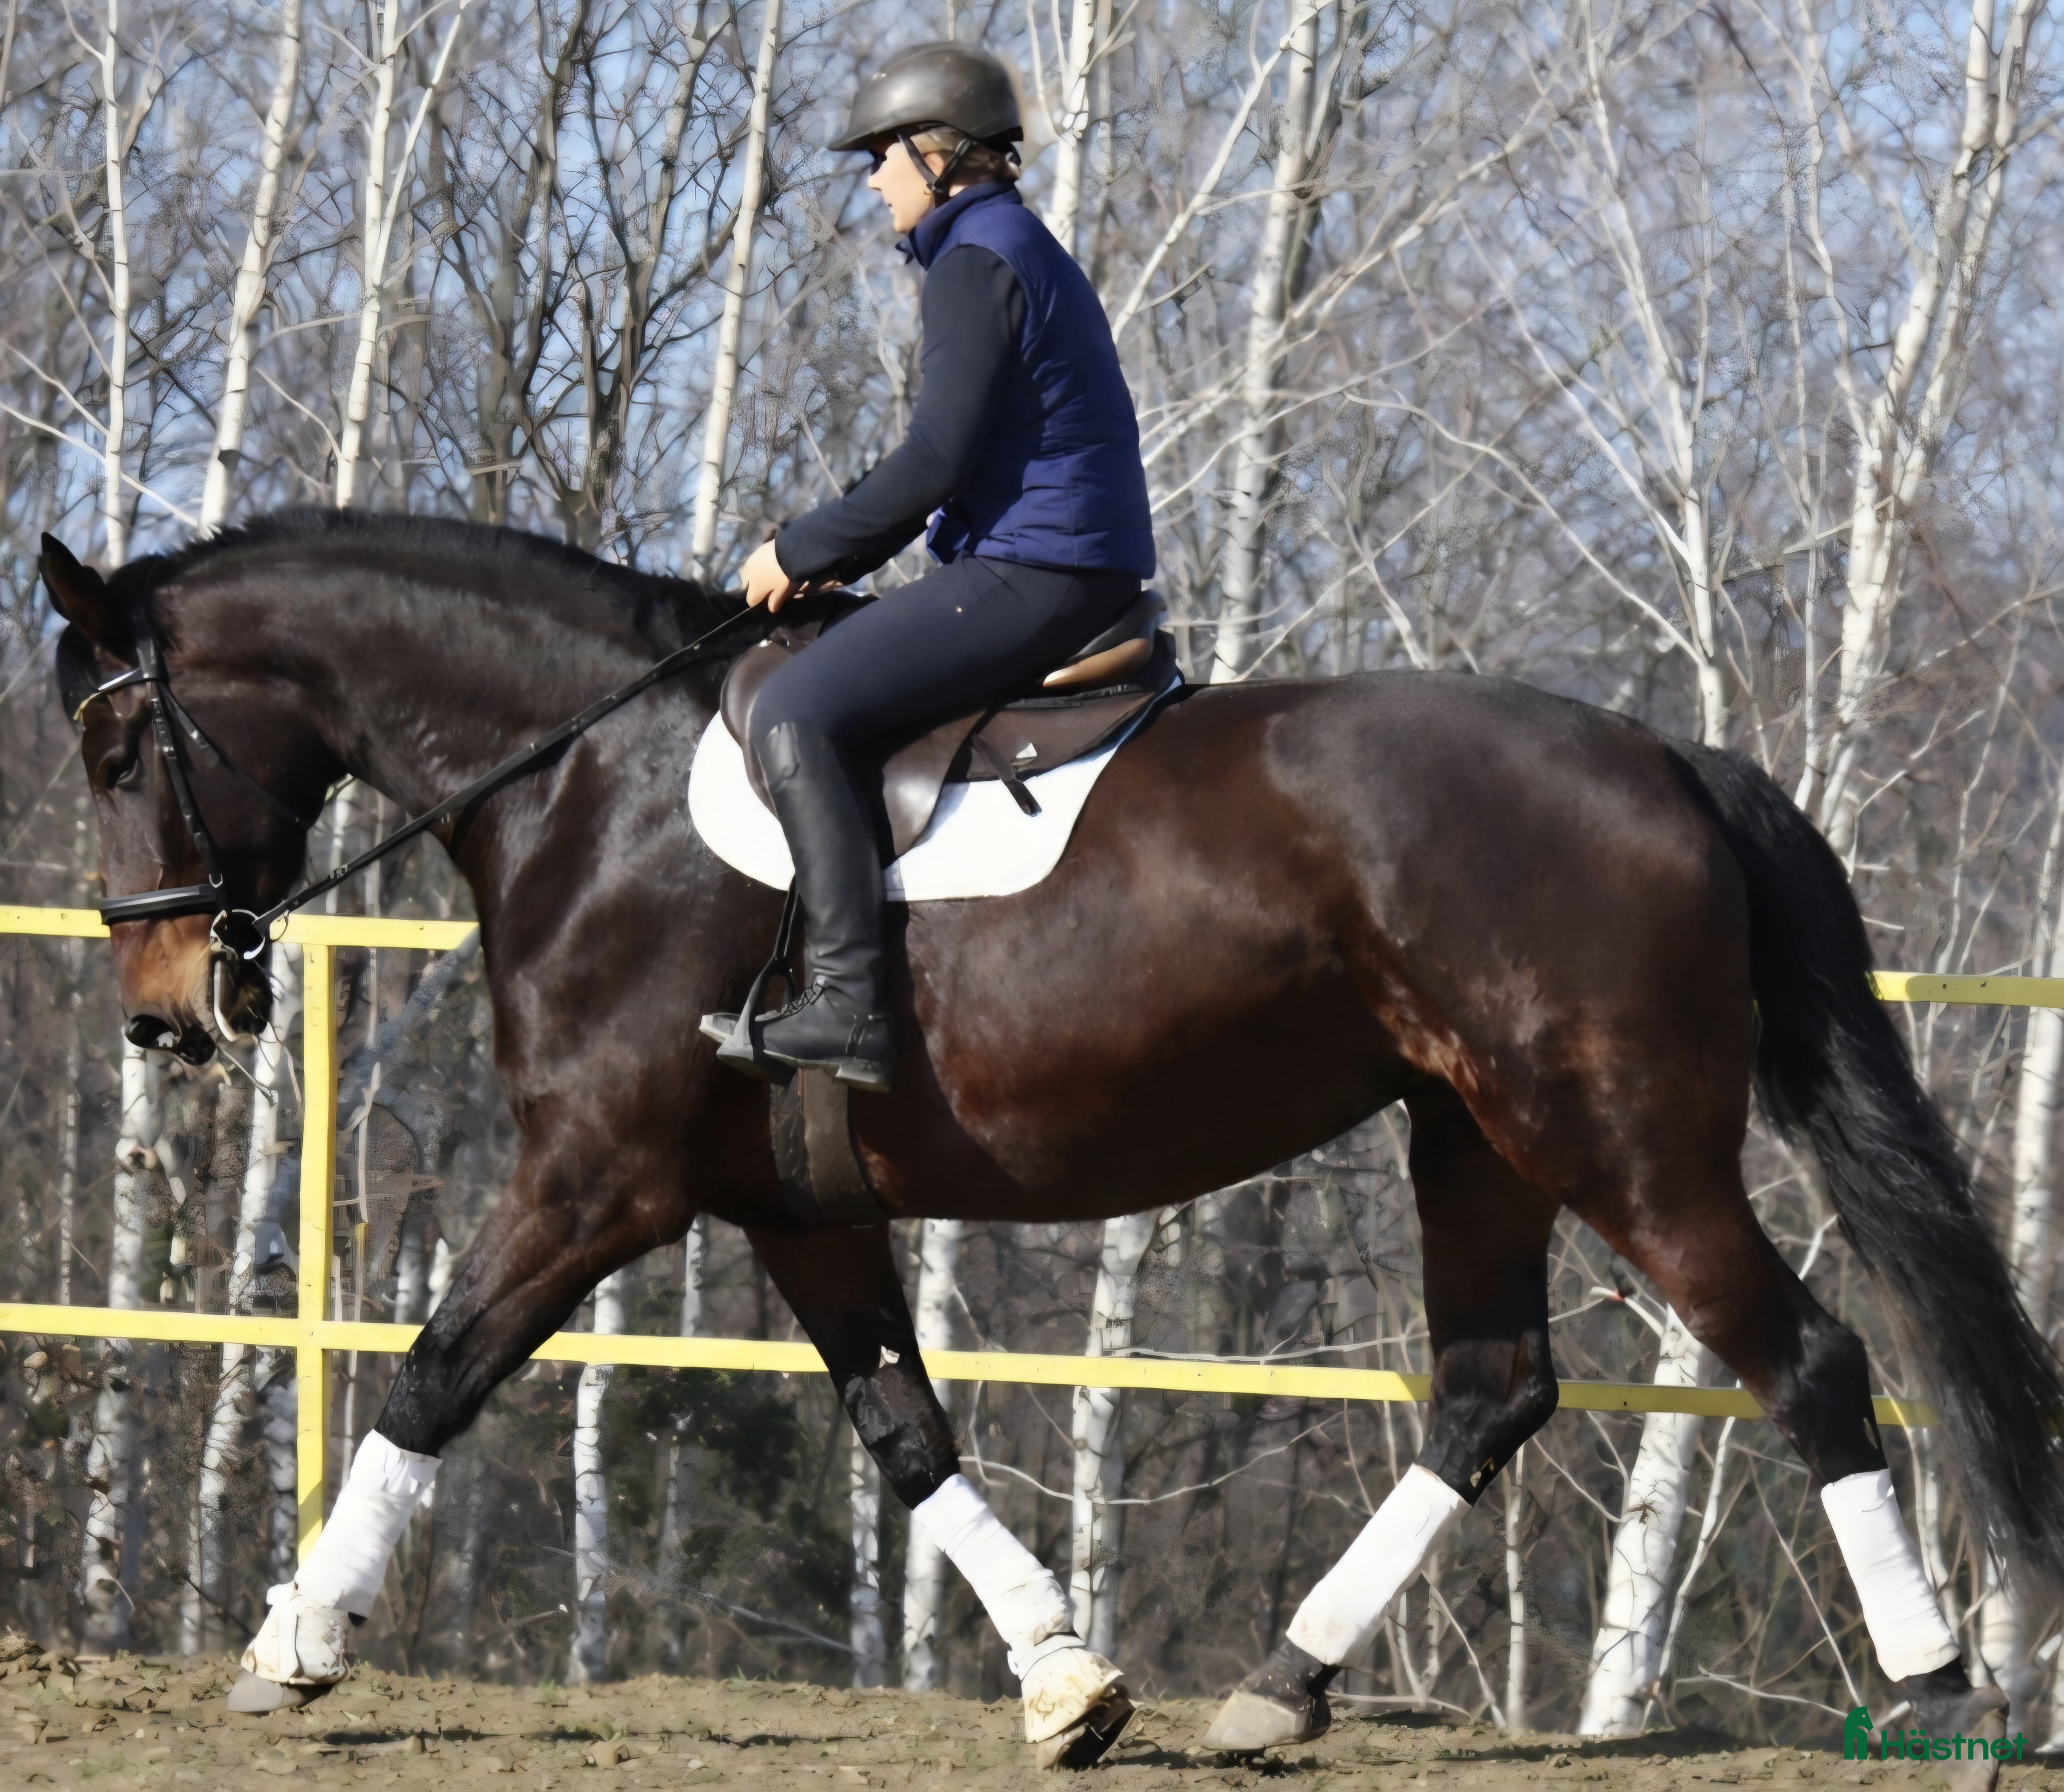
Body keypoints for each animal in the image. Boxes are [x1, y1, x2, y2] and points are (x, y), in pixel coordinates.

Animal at [39, 508, 2064, 1778]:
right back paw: (1277, 1687)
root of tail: (1662, 758)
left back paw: (1929, 1684)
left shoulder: (593, 1179)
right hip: (1471, 1137)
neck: (588, 784)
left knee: (1807, 1360)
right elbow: (905, 1435)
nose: (158, 1008)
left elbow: (435, 1371)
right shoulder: (792, 1207)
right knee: (1490, 1389)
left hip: (1614, 1139)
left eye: (119, 742)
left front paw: (292, 1645)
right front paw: (1070, 1683)